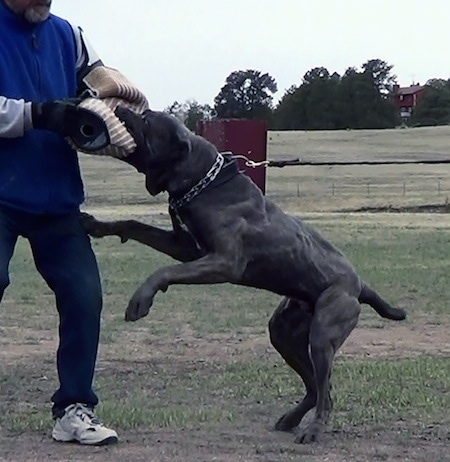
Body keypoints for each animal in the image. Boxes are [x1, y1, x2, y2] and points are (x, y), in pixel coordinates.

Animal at [81, 108, 408, 444]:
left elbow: (164, 270)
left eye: (147, 120)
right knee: (316, 387)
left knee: (325, 390)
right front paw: (97, 225)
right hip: (284, 332)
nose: (121, 109)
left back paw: (314, 430)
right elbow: (135, 226)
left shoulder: (224, 262)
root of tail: (358, 285)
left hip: (323, 334)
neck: (205, 182)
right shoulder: (186, 248)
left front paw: (141, 299)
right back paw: (291, 419)